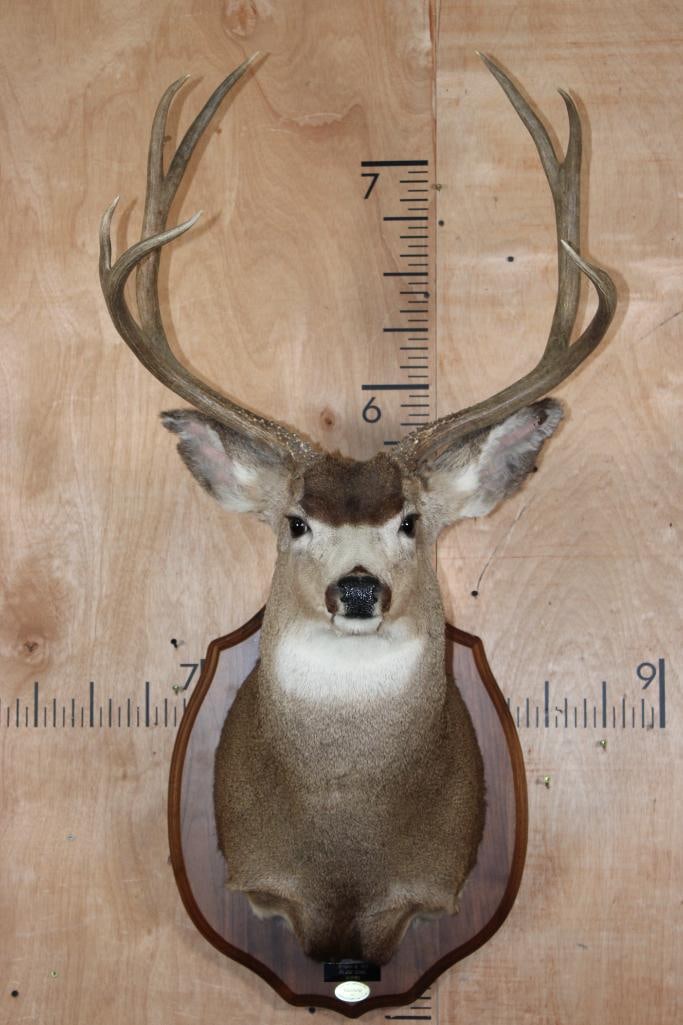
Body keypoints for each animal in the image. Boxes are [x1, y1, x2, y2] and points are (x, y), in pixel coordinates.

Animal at [99, 54, 616, 965]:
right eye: (295, 522)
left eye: (410, 520)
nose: (358, 589)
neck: (343, 855)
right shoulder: (261, 882)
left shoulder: (426, 891)